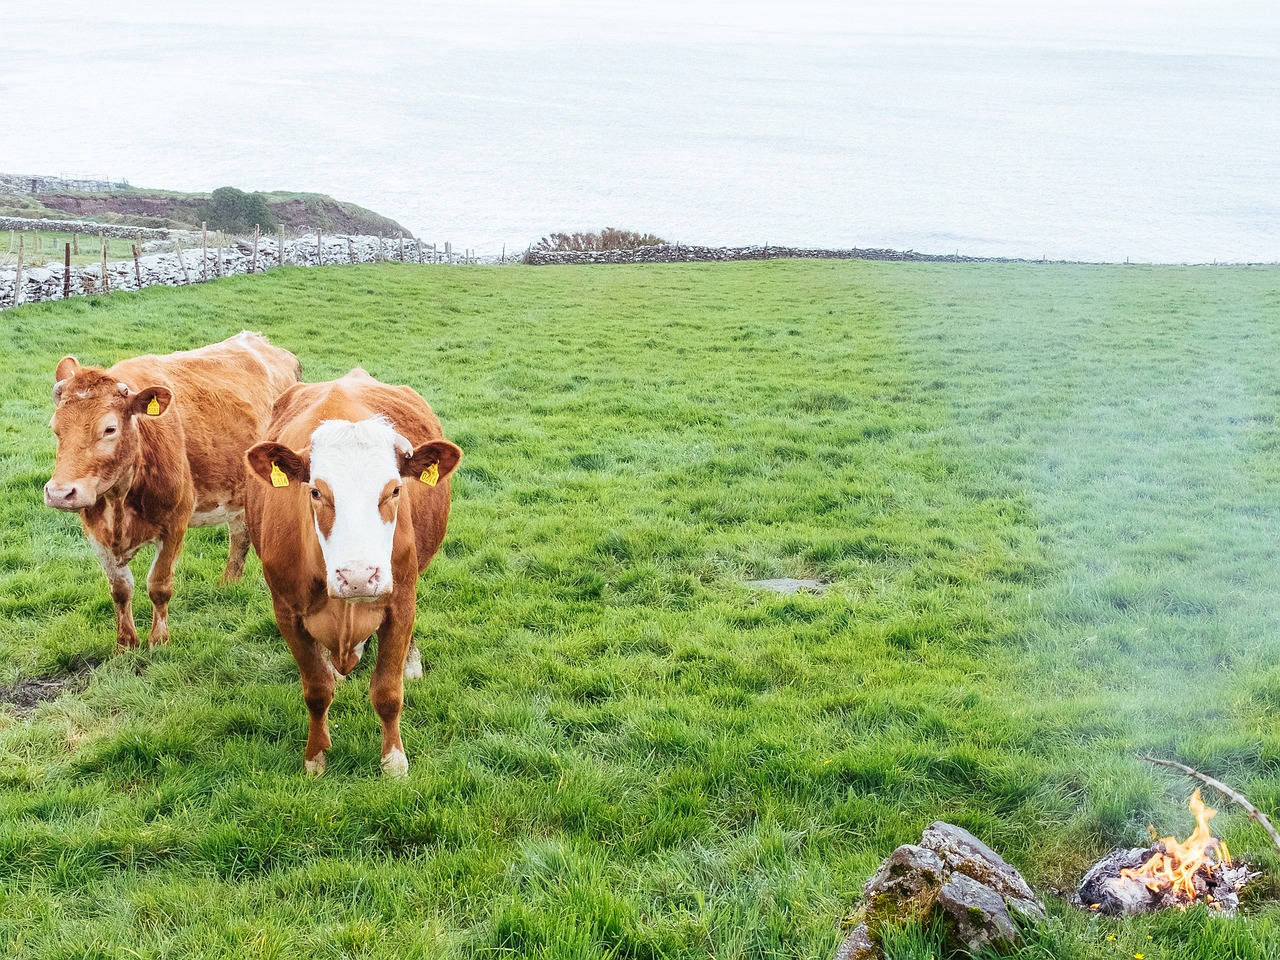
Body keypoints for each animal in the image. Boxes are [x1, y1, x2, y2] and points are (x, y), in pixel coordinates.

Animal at [43, 332, 304, 655]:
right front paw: (125, 644)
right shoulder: (94, 531)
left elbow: (159, 585)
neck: (120, 503)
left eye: (109, 429)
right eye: (55, 429)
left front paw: (158, 641)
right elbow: (120, 589)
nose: (59, 493)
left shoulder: (175, 523)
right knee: (240, 535)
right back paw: (229, 583)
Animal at [241, 371, 463, 783]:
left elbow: (388, 693)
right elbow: (316, 690)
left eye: (395, 489)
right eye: (316, 491)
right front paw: (315, 758)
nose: (358, 577)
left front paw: (394, 763)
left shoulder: (400, 604)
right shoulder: (287, 613)